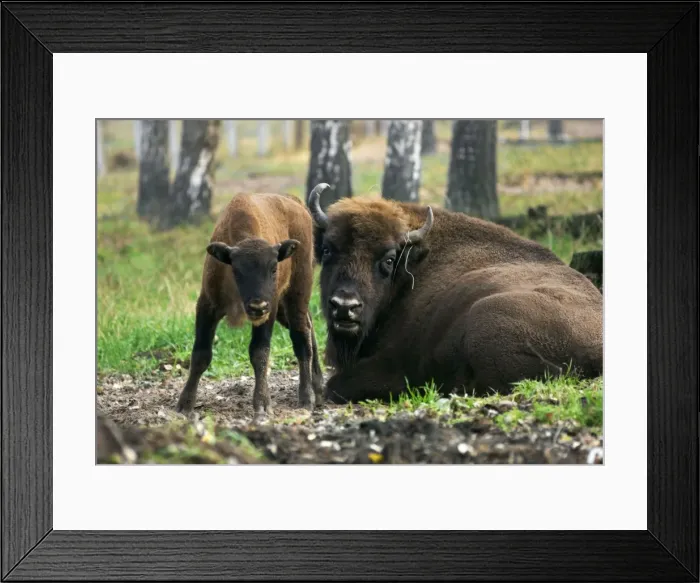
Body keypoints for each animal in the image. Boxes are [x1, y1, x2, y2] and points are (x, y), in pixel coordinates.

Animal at [176, 192, 323, 418]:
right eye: (236, 270)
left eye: (274, 268)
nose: (257, 306)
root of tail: (297, 203)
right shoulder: (206, 305)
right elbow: (201, 354)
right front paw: (185, 405)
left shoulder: (269, 311)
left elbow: (259, 352)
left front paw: (262, 405)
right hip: (285, 309)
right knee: (309, 325)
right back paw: (319, 387)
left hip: (297, 293)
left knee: (301, 338)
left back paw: (307, 398)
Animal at [306, 182, 603, 404]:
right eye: (327, 250)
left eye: (389, 260)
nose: (345, 306)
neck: (411, 266)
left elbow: (334, 385)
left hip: (486, 315)